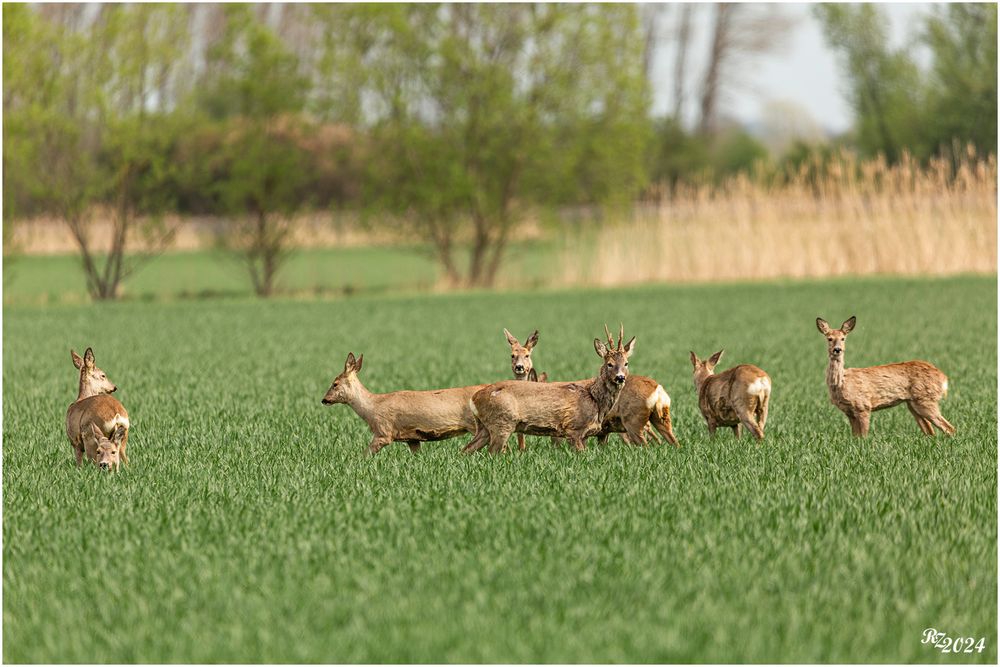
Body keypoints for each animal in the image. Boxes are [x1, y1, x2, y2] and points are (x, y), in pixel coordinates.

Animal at [322, 352, 486, 456]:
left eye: (335, 384)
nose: (324, 400)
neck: (372, 407)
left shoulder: (383, 431)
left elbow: (365, 454)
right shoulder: (412, 438)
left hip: (474, 424)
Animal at [462, 324, 632, 454]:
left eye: (626, 363)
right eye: (609, 364)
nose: (620, 377)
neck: (595, 399)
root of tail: (474, 398)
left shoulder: (584, 434)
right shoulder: (574, 428)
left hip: (484, 426)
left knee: (465, 450)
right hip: (502, 423)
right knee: (492, 452)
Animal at [816, 318, 956, 438]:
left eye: (843, 338)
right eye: (829, 338)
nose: (837, 349)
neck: (841, 383)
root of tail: (943, 378)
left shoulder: (863, 406)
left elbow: (863, 437)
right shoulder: (849, 412)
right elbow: (855, 437)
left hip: (926, 399)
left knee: (949, 428)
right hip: (914, 404)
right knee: (931, 432)